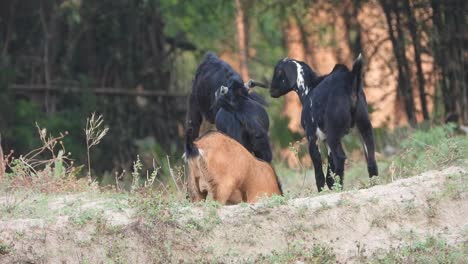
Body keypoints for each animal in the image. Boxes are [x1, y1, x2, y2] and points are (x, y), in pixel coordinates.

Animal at [270, 54, 376, 191]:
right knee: (371, 157)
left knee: (340, 157)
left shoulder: (312, 138)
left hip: (333, 133)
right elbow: (330, 167)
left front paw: (321, 190)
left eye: (277, 72)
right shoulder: (327, 141)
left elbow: (318, 169)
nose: (270, 90)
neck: (309, 88)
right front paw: (330, 185)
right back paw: (374, 182)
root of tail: (349, 81)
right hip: (364, 127)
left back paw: (339, 187)